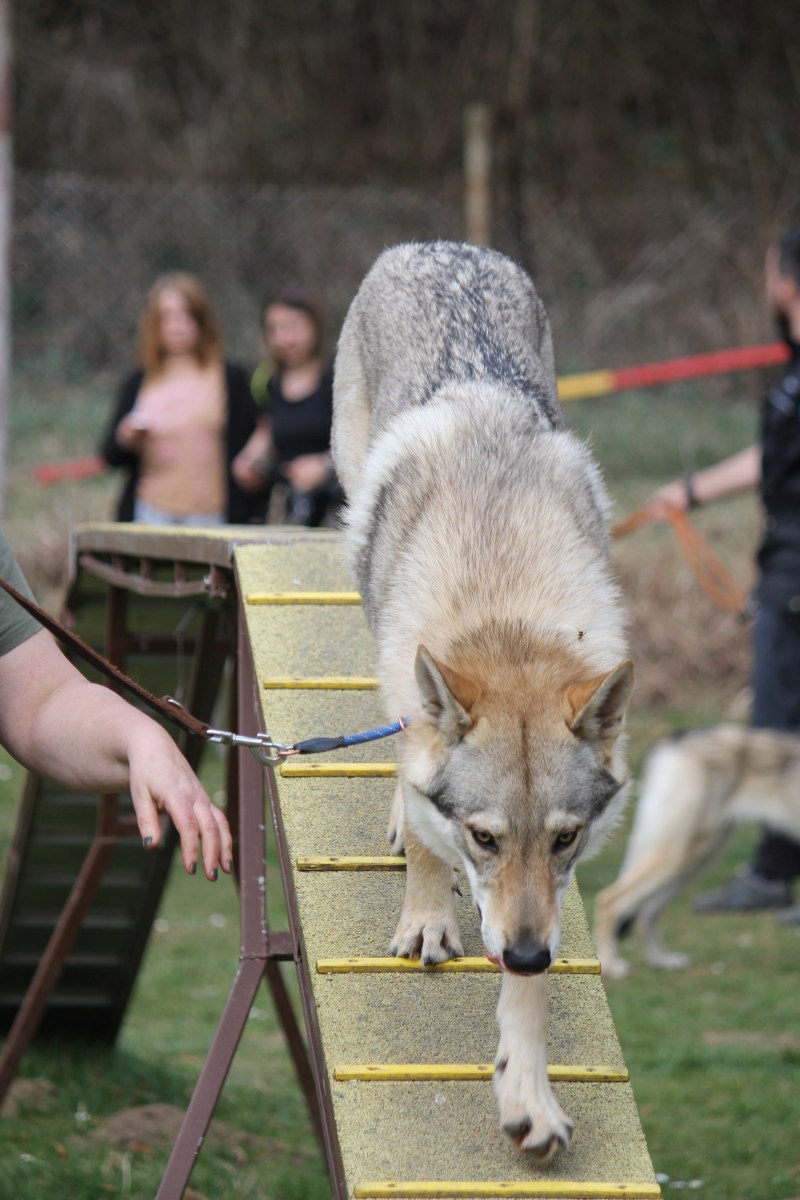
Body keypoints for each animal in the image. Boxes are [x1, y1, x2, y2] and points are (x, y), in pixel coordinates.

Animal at [235, 537, 662, 1200]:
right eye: (484, 836)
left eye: (565, 838)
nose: (527, 956)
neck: (503, 609)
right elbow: (423, 827)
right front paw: (428, 921)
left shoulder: (538, 916)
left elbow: (529, 981)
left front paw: (528, 1099)